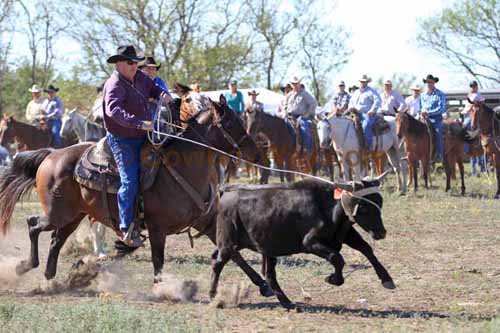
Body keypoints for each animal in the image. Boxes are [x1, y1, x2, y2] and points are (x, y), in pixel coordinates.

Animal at [0, 94, 274, 294]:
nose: (255, 153)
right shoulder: (157, 228)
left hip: (73, 216)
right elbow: (158, 260)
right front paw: (162, 289)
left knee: (56, 240)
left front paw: (264, 285)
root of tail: (52, 154)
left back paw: (49, 278)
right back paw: (26, 267)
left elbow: (233, 252)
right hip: (58, 213)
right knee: (33, 224)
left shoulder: (205, 222)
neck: (183, 167)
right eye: (229, 123)